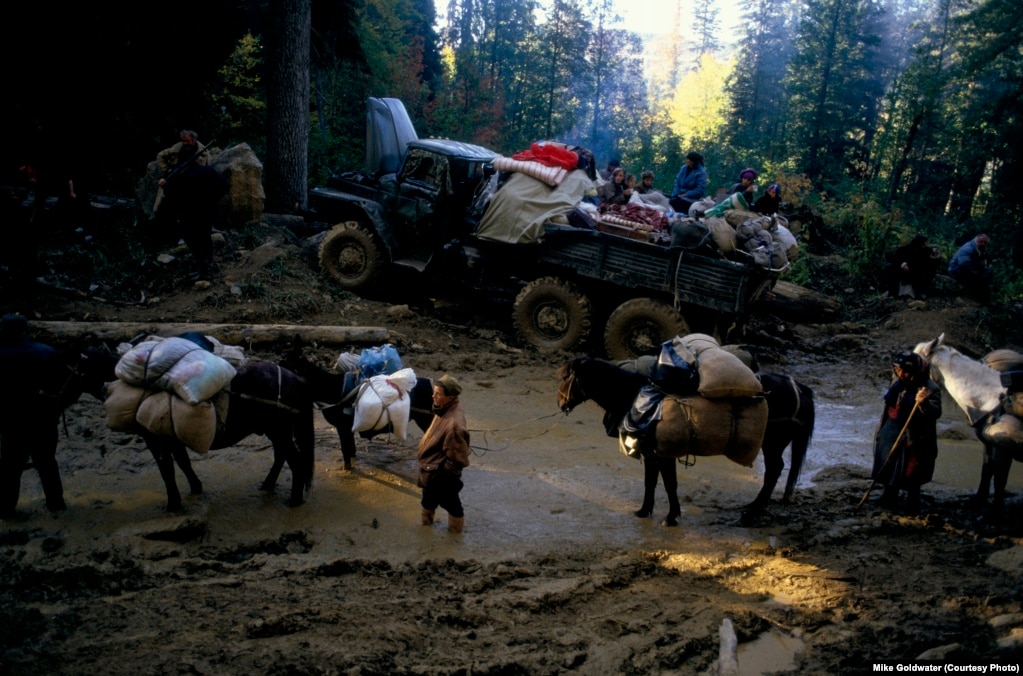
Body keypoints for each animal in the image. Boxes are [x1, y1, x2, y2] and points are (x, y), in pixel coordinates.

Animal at [76, 349, 310, 509]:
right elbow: (183, 462)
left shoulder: (155, 439)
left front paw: (173, 505)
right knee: (282, 456)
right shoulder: (172, 439)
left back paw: (294, 499)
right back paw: (268, 485)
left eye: (78, 370)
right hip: (277, 432)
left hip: (279, 431)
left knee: (295, 460)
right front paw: (196, 488)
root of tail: (297, 378)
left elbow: (167, 470)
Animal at [282, 347, 433, 468]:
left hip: (426, 420)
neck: (329, 389)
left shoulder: (342, 427)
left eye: (284, 363)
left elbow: (346, 452)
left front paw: (347, 469)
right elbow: (351, 449)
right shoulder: (347, 429)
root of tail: (430, 384)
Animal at [556, 355, 810, 523]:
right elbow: (651, 481)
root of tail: (798, 387)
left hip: (773, 444)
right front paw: (644, 511)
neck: (636, 397)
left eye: (567, 377)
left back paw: (755, 509)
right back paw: (756, 506)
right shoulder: (651, 452)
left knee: (774, 470)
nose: (560, 403)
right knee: (776, 470)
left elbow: (670, 483)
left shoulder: (664, 453)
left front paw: (671, 516)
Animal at [916, 333, 1018, 517]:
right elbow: (987, 471)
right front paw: (978, 501)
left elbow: (1000, 478)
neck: (992, 397)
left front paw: (996, 511)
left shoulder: (1004, 448)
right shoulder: (989, 445)